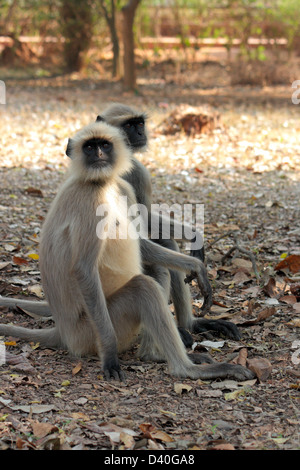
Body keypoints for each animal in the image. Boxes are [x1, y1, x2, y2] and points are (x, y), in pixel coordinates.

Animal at [0, 121, 254, 382]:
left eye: (104, 145)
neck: (102, 184)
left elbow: (141, 244)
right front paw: (110, 355)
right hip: (91, 331)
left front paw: (196, 263)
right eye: (89, 147)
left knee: (159, 273)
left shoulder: (124, 187)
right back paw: (186, 368)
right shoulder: (90, 200)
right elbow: (83, 269)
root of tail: (63, 331)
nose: (98, 155)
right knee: (144, 288)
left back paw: (159, 353)